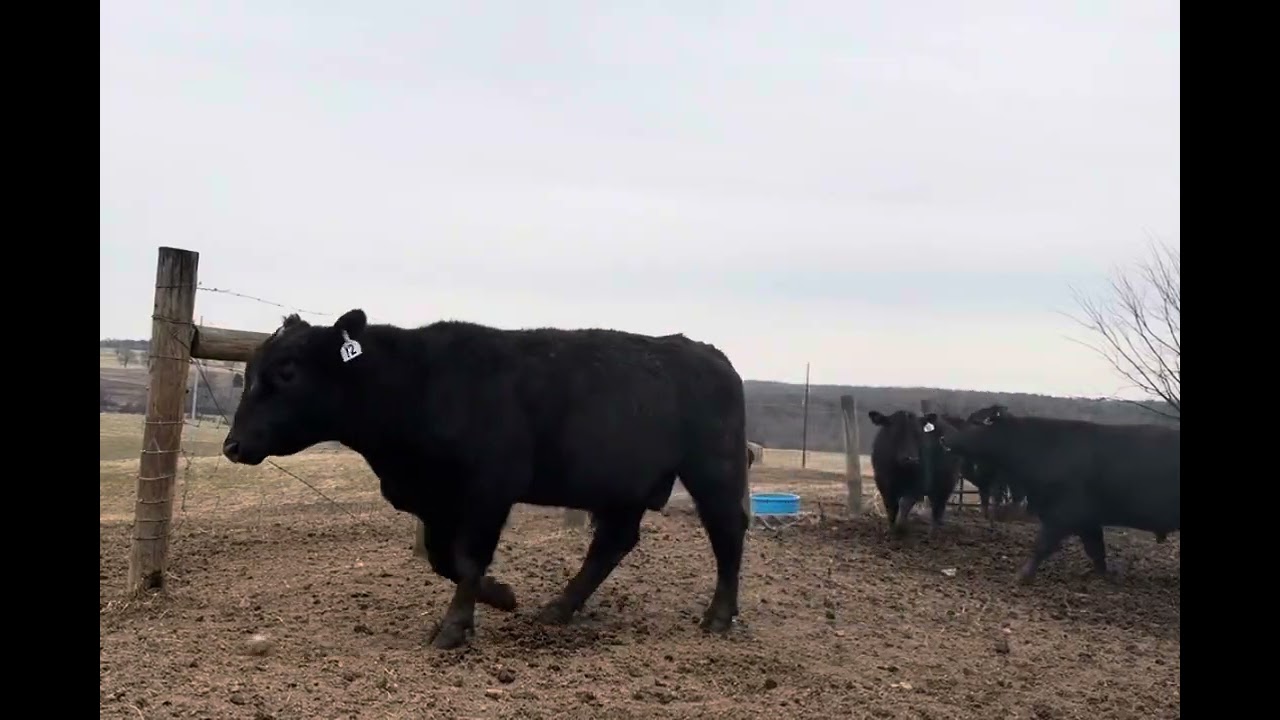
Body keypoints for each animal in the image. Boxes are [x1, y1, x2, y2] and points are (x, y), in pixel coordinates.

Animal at [220, 310, 750, 650]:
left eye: (288, 372)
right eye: (249, 371)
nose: (233, 446)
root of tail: (704, 350)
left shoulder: (488, 490)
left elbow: (468, 558)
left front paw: (455, 629)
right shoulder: (435, 501)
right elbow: (444, 560)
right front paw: (502, 596)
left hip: (715, 469)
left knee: (727, 533)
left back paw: (718, 617)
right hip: (623, 484)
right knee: (612, 543)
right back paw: (558, 608)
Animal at [868, 409, 962, 537]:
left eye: (918, 435)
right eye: (896, 432)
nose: (911, 459)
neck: (900, 471)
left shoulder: (919, 486)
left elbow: (904, 503)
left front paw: (901, 527)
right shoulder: (884, 485)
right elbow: (891, 507)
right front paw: (891, 530)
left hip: (946, 484)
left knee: (938, 507)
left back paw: (933, 532)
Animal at [925, 405, 1179, 584]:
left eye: (976, 422)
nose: (944, 438)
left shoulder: (1063, 514)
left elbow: (1042, 545)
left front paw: (1022, 575)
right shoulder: (1087, 520)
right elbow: (1096, 549)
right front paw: (1105, 574)